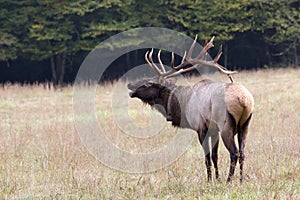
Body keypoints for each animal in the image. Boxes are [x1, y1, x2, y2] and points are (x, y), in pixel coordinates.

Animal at [126, 34, 253, 183]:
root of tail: (243, 99)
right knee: (243, 153)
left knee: (234, 153)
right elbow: (215, 156)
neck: (183, 105)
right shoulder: (214, 130)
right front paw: (217, 178)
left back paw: (229, 180)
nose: (129, 85)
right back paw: (241, 180)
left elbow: (207, 158)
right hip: (245, 125)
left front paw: (209, 180)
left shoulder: (201, 127)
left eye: (148, 83)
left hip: (225, 125)